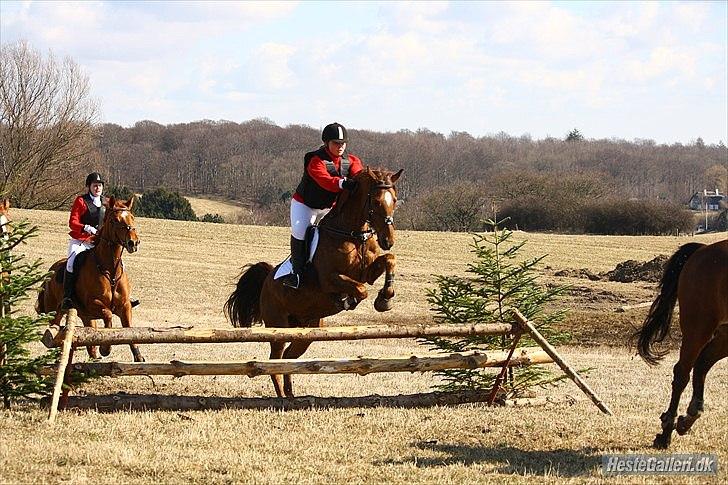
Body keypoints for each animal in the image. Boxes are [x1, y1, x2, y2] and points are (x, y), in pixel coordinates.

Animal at [36, 196, 144, 360]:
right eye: (114, 220)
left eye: (132, 217)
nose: (133, 243)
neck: (110, 270)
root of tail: (50, 272)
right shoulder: (93, 303)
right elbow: (108, 315)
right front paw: (105, 348)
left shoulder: (125, 306)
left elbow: (129, 330)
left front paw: (138, 356)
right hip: (55, 311)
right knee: (54, 331)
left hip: (86, 316)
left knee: (89, 338)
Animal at [223, 167, 400, 398]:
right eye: (376, 201)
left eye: (394, 200)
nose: (388, 240)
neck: (353, 234)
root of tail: (268, 279)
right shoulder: (330, 279)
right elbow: (360, 290)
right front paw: (349, 300)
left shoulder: (368, 272)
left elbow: (389, 260)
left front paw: (384, 299)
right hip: (278, 327)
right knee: (274, 361)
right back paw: (282, 397)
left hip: (306, 331)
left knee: (288, 358)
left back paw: (291, 396)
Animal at [632, 238, 728, 446]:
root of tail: (703, 249)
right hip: (698, 326)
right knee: (683, 372)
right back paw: (667, 430)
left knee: (701, 365)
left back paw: (687, 419)